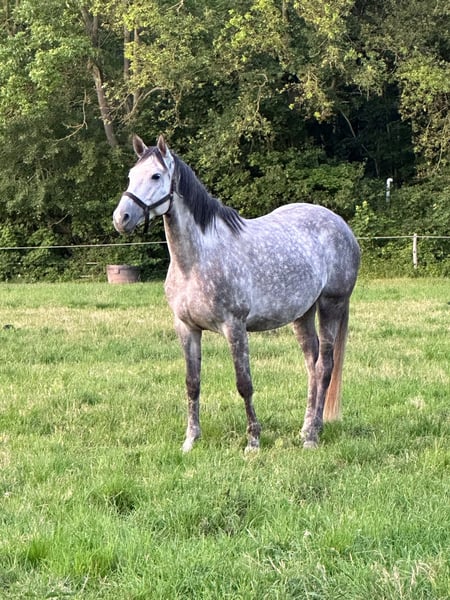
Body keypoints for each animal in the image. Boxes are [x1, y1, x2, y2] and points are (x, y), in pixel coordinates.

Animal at [113, 135, 360, 451]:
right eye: (131, 175)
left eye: (156, 176)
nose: (121, 218)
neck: (196, 260)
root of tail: (342, 227)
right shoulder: (186, 327)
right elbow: (192, 383)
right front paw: (190, 440)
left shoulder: (235, 326)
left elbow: (244, 384)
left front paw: (253, 441)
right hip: (303, 313)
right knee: (312, 366)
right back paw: (305, 429)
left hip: (331, 304)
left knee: (325, 367)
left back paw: (313, 436)